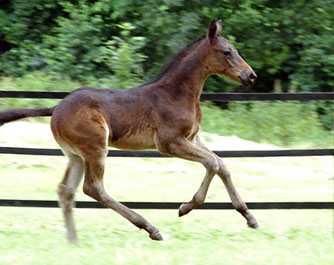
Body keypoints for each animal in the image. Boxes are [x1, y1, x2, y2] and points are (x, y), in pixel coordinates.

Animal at [0, 19, 258, 240]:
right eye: (227, 52)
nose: (251, 75)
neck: (177, 93)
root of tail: (56, 108)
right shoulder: (170, 142)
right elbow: (212, 163)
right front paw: (186, 207)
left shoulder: (192, 137)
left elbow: (221, 164)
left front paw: (249, 217)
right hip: (95, 147)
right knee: (93, 188)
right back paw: (150, 228)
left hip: (75, 155)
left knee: (66, 190)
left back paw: (73, 241)